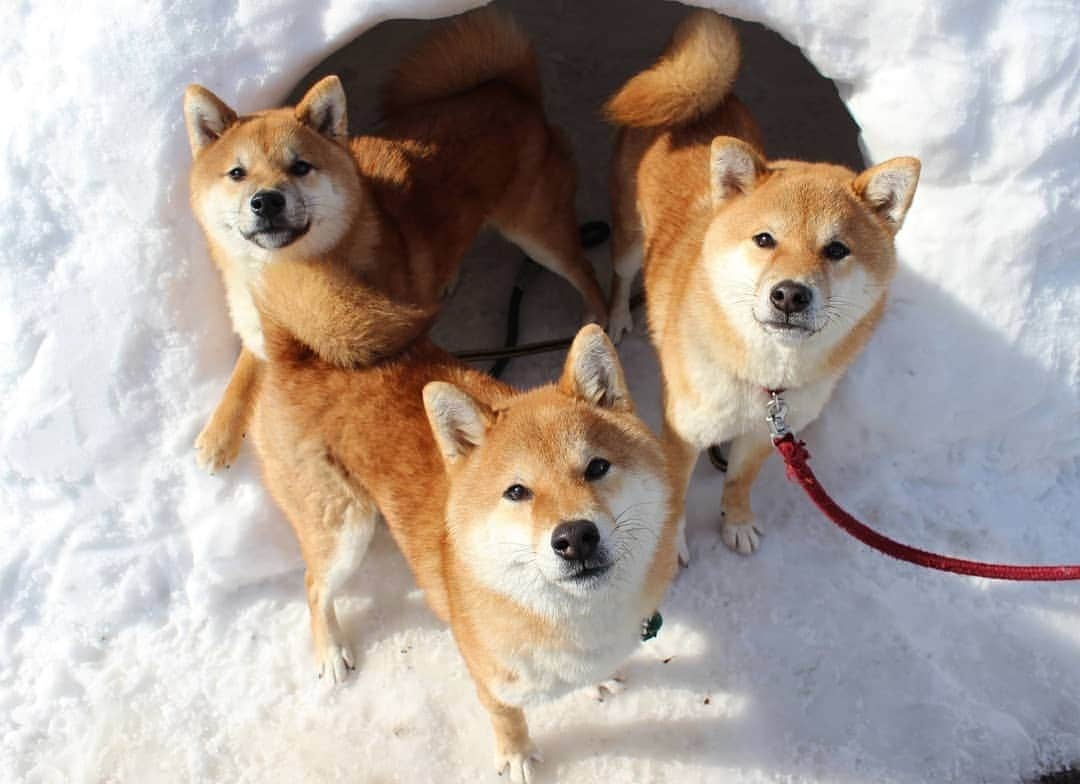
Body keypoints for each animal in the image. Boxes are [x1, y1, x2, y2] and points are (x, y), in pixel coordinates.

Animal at [183, 9, 609, 472]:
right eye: (237, 173)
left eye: (300, 167)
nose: (267, 201)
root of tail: (506, 90)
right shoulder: (262, 330)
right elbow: (243, 373)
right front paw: (220, 433)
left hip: (535, 232)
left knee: (584, 269)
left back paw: (605, 317)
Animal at [252, 285, 673, 781]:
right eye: (516, 491)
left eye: (597, 467)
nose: (575, 538)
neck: (571, 617)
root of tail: (297, 355)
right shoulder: (488, 678)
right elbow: (507, 718)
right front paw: (516, 757)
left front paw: (598, 680)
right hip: (346, 530)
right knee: (314, 586)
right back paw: (332, 651)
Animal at [604, 13, 915, 565]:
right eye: (765, 239)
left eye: (837, 249)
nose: (789, 294)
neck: (767, 379)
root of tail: (700, 100)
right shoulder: (683, 431)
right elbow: (676, 495)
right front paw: (673, 546)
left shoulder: (765, 437)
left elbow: (740, 482)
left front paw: (737, 522)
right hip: (629, 240)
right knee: (619, 276)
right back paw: (619, 316)